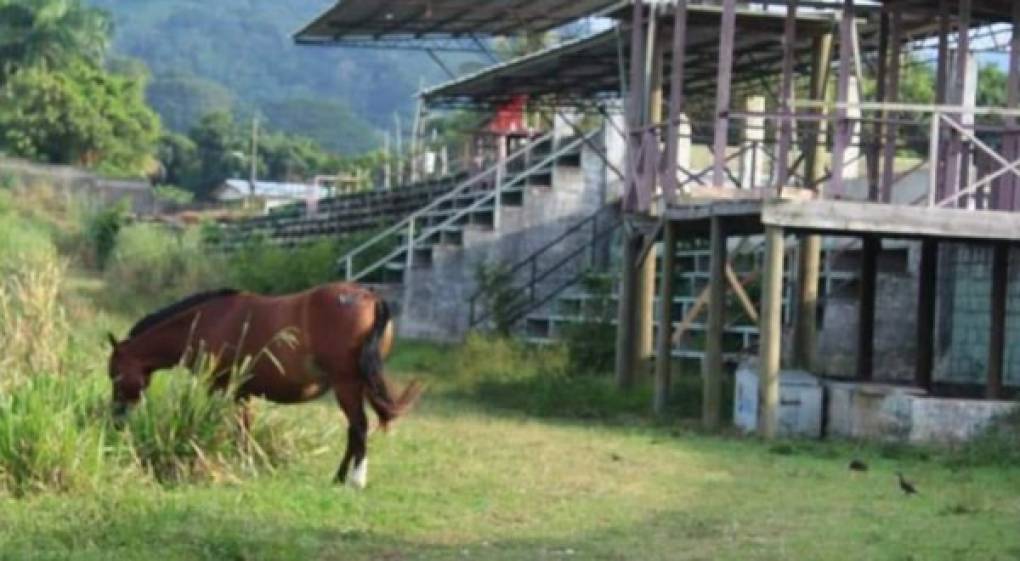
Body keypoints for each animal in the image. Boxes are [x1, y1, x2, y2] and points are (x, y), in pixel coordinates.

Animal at [105, 283, 420, 489]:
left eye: (115, 375)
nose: (116, 420)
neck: (206, 320)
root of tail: (370, 297)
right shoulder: (241, 392)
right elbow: (244, 429)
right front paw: (247, 466)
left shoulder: (221, 389)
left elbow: (232, 428)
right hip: (361, 385)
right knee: (354, 432)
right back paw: (339, 477)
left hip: (348, 385)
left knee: (358, 428)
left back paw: (355, 480)